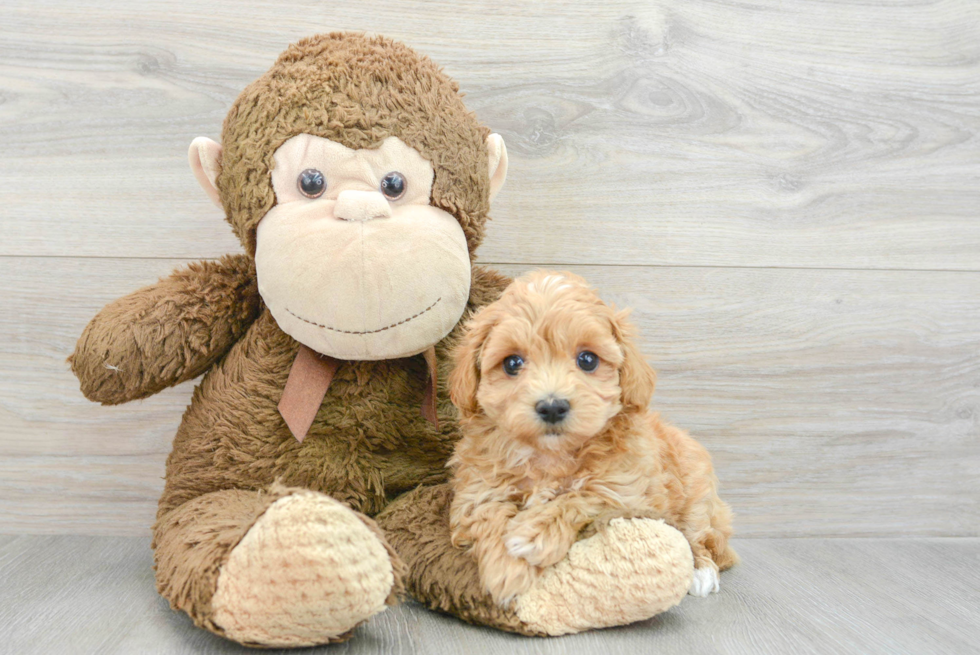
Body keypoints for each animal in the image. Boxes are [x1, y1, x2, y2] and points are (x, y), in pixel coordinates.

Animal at [446, 270, 736, 608]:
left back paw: (702, 571)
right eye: (512, 363)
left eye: (587, 360)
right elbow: (489, 514)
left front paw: (533, 535)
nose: (552, 406)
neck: (549, 457)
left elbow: (582, 496)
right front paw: (506, 569)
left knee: (698, 537)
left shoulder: (625, 490)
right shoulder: (475, 493)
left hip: (696, 495)